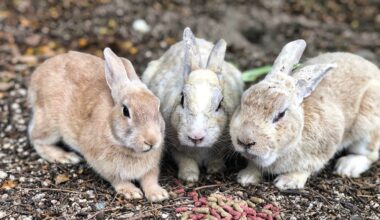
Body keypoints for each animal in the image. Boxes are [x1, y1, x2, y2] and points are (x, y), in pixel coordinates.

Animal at [27, 47, 168, 201]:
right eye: (126, 111)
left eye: (157, 106)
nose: (151, 141)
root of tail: (36, 75)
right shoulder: (103, 165)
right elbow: (117, 179)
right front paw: (131, 192)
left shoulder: (152, 167)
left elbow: (150, 179)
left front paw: (158, 194)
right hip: (50, 124)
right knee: (35, 138)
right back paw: (65, 156)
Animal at [142, 27, 243, 182]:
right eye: (182, 99)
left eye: (220, 104)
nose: (196, 136)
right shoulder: (174, 146)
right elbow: (185, 160)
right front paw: (189, 176)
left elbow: (216, 157)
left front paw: (216, 169)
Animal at [229, 39, 380, 191]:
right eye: (242, 102)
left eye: (281, 114)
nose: (244, 141)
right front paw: (246, 177)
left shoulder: (323, 149)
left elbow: (306, 168)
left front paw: (287, 181)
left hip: (367, 129)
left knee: (371, 154)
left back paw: (347, 167)